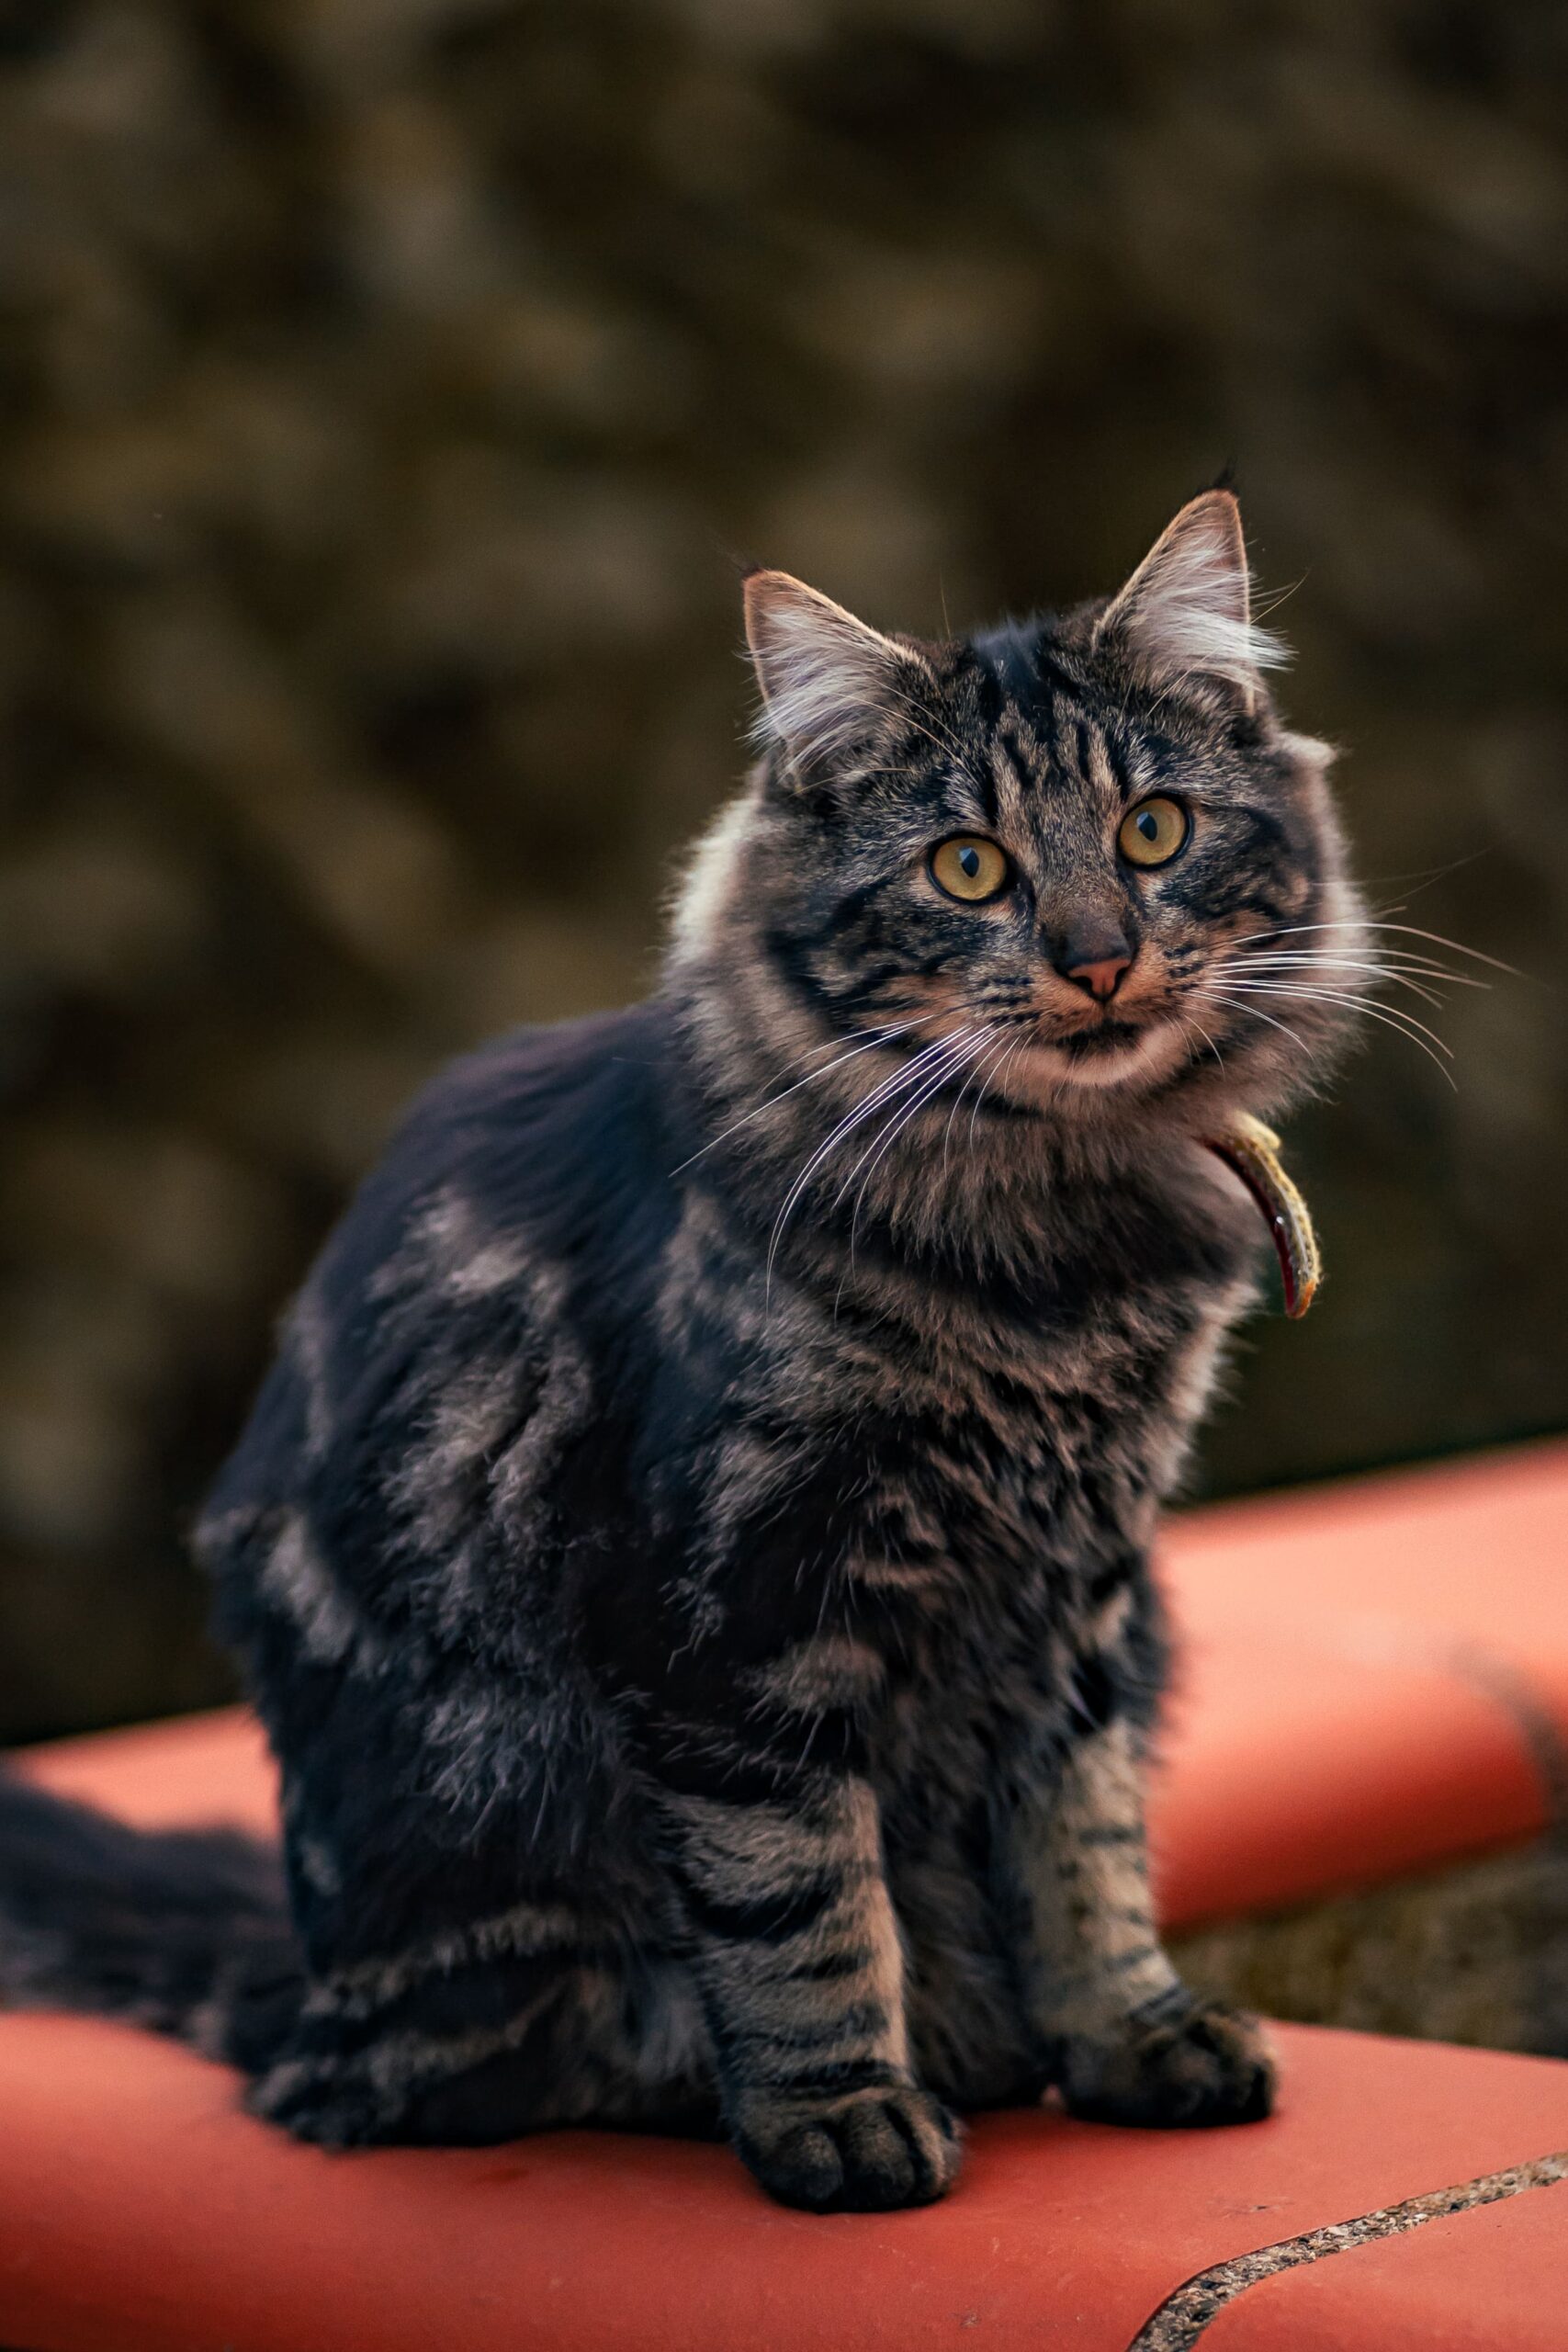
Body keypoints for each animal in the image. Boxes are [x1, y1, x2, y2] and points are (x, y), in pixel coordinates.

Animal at [0, 492, 1363, 2201]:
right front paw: (840, 2116)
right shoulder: (732, 1612)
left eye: (1152, 836)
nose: (1097, 956)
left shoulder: (1079, 1588)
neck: (1051, 1222)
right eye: (968, 868)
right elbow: (801, 1906)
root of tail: (309, 1997)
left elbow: (1083, 1833)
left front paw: (1129, 2036)